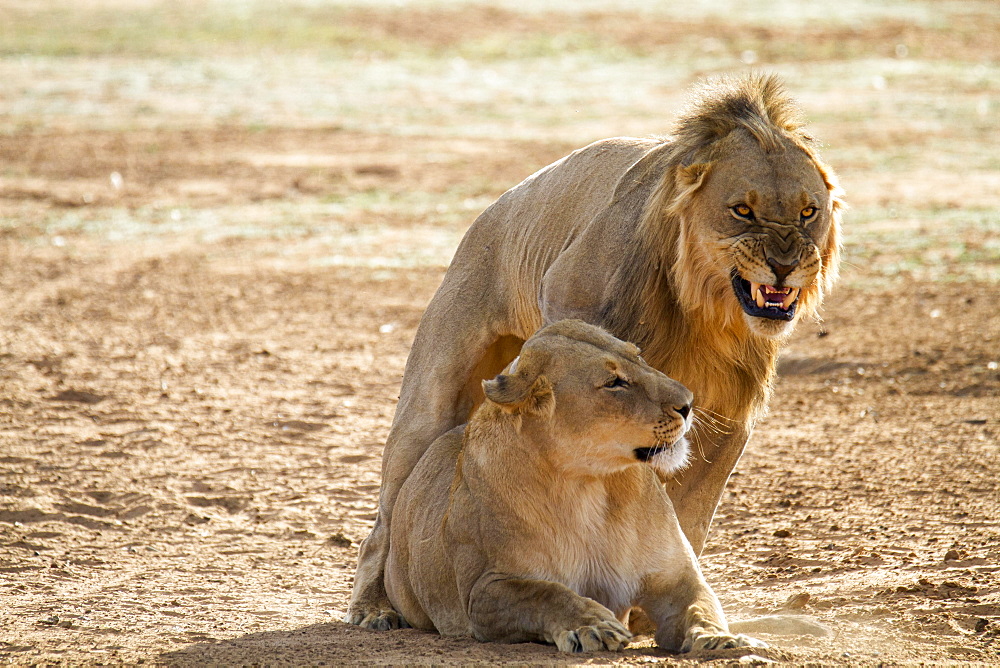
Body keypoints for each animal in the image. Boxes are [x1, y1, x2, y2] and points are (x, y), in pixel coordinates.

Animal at [386, 320, 760, 656]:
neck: (589, 485)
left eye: (639, 356)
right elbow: (545, 593)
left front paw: (720, 639)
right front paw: (593, 626)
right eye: (614, 383)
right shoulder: (483, 591)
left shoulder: (675, 578)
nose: (689, 402)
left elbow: (702, 607)